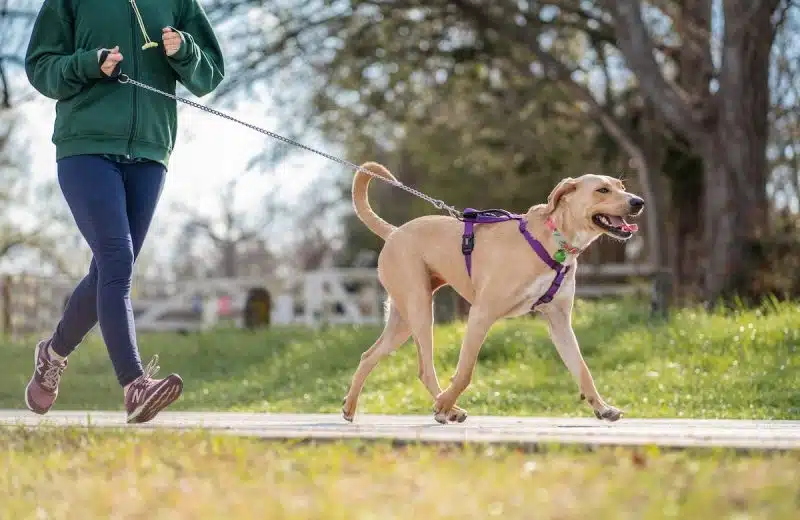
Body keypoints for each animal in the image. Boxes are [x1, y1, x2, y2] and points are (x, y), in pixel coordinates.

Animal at [342, 162, 644, 422]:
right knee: (425, 369)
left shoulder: (559, 322)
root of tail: (394, 232)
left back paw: (350, 406)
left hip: (403, 321)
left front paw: (602, 408)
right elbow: (465, 372)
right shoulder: (481, 314)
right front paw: (444, 404)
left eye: (620, 185)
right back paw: (447, 407)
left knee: (369, 355)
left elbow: (582, 369)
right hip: (419, 309)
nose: (638, 202)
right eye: (602, 190)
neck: (554, 239)